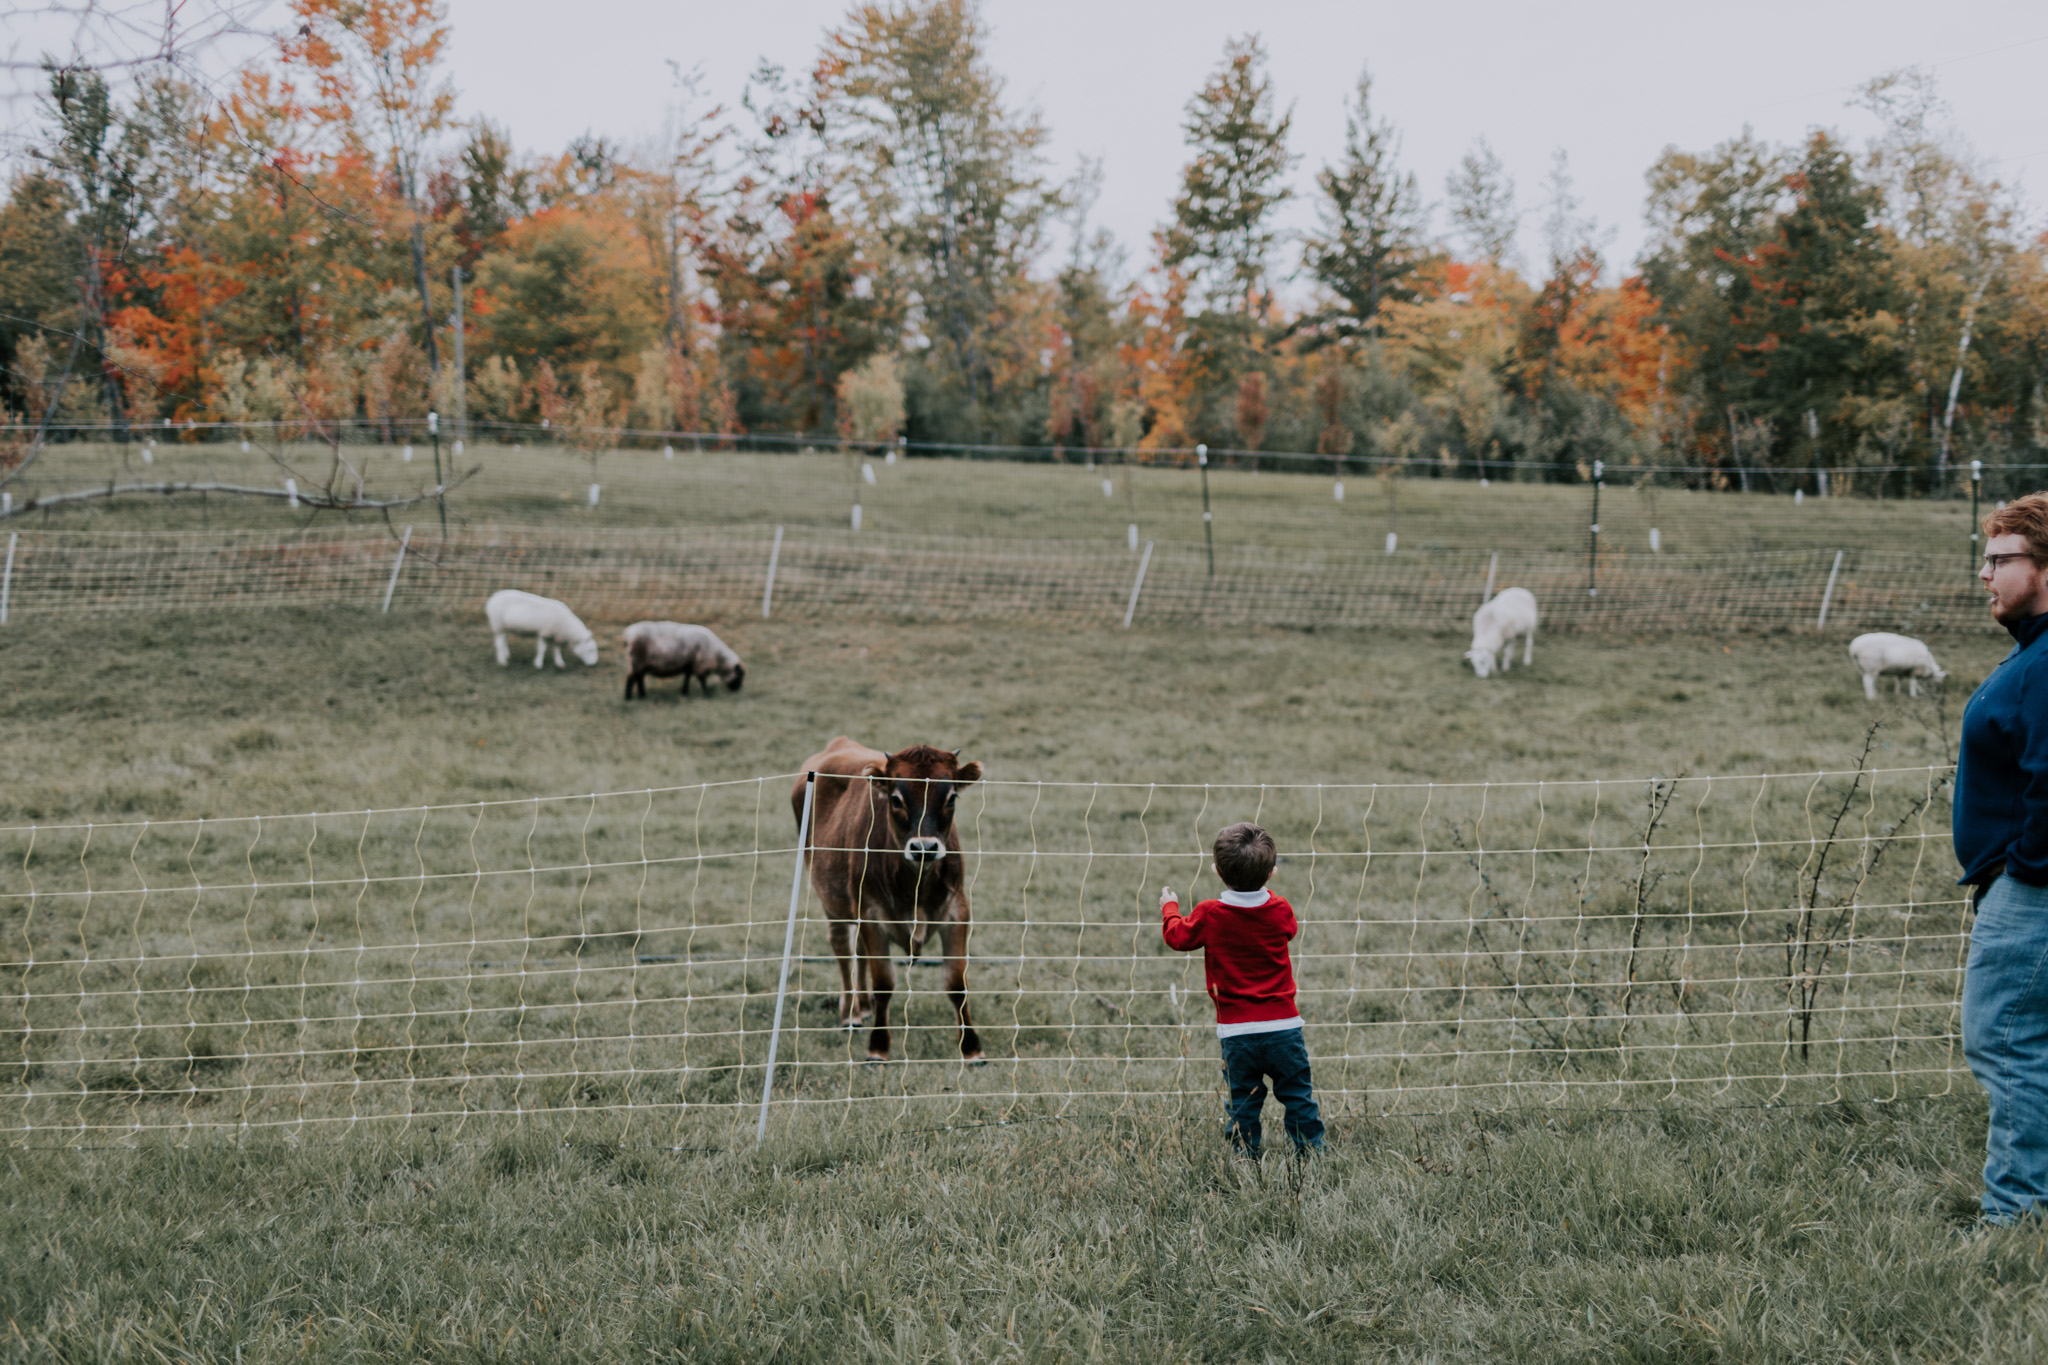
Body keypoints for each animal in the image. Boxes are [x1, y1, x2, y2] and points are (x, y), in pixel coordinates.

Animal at [790, 736, 983, 1064]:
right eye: (896, 799)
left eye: (951, 798)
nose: (924, 847)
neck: (916, 887)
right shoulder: (871, 912)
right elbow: (884, 983)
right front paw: (878, 1047)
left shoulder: (957, 910)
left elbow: (957, 983)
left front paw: (971, 1048)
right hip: (831, 899)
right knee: (842, 949)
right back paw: (851, 1013)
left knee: (858, 950)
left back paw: (864, 1006)